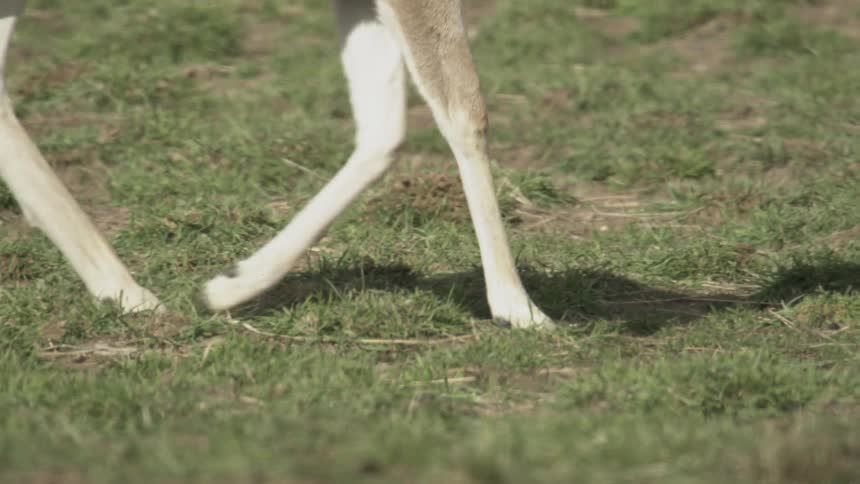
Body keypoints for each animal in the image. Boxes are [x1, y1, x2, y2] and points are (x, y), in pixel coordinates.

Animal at [0, 0, 554, 329]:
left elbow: (384, 130)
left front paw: (225, 286)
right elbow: (465, 106)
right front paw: (519, 307)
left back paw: (119, 287)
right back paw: (132, 292)